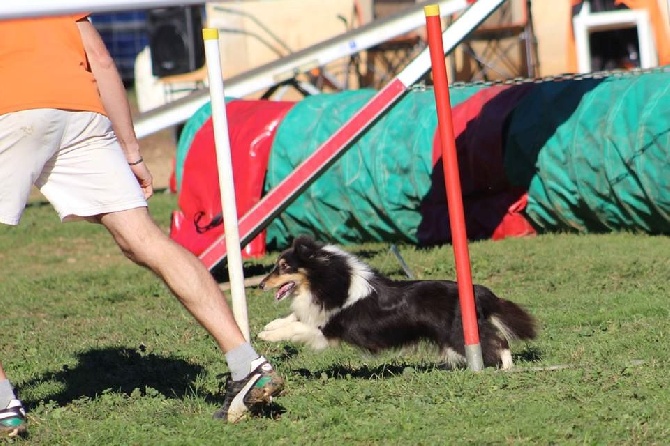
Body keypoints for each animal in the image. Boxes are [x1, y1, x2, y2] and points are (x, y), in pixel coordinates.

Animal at [258, 235, 540, 368]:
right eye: (276, 265)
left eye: (284, 267)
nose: (260, 285)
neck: (328, 279)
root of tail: (478, 291)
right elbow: (293, 316)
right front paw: (268, 327)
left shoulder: (328, 329)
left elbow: (298, 326)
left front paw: (267, 336)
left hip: (459, 334)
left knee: (499, 343)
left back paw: (506, 369)